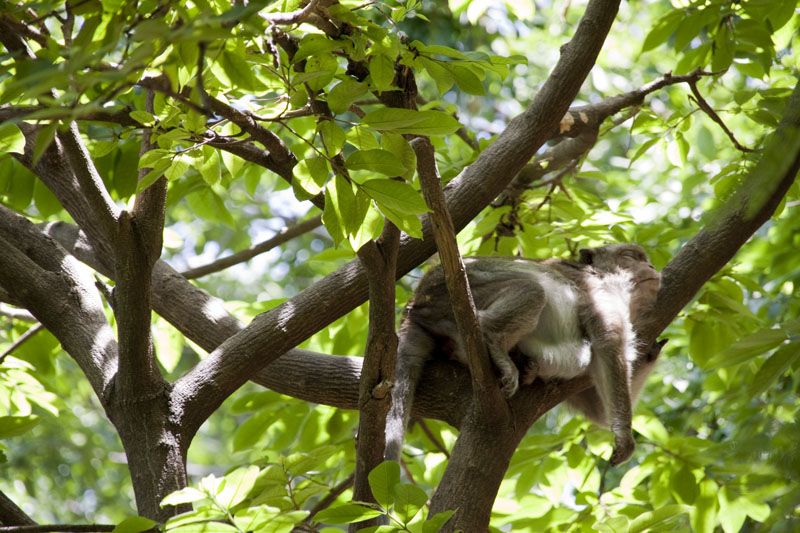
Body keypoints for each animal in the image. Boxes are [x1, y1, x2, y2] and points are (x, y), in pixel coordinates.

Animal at [384, 244, 661, 466]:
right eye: (630, 256)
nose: (650, 265)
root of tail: (413, 306)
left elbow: (597, 410)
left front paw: (653, 351)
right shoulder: (599, 293)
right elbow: (608, 341)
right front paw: (625, 436)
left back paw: (529, 365)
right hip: (457, 297)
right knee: (532, 288)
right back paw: (495, 342)